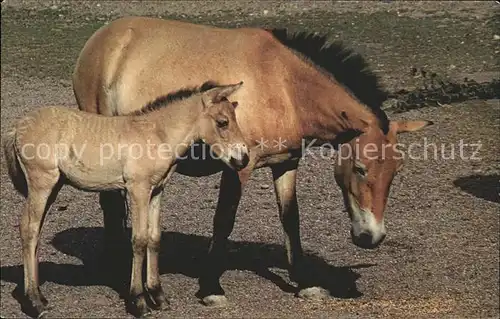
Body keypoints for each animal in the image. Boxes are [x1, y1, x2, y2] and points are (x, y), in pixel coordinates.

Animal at [1, 82, 248, 318]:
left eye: (235, 118)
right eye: (223, 122)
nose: (242, 159)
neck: (157, 134)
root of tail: (17, 127)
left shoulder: (156, 191)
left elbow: (154, 238)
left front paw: (159, 297)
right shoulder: (137, 189)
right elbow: (139, 240)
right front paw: (139, 302)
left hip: (53, 186)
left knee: (35, 230)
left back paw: (40, 298)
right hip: (41, 183)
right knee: (29, 229)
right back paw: (34, 303)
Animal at [71, 16, 434, 308]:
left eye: (395, 171)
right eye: (360, 168)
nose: (372, 237)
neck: (283, 85)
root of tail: (102, 38)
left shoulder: (286, 165)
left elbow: (290, 220)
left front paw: (305, 283)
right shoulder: (239, 167)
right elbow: (224, 221)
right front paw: (211, 288)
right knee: (110, 205)